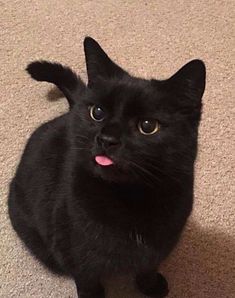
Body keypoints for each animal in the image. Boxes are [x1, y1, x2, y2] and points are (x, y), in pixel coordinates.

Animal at [7, 37, 206, 298]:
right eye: (97, 112)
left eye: (148, 126)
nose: (107, 139)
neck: (129, 200)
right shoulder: (76, 254)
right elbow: (87, 279)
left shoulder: (159, 245)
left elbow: (148, 266)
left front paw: (151, 286)